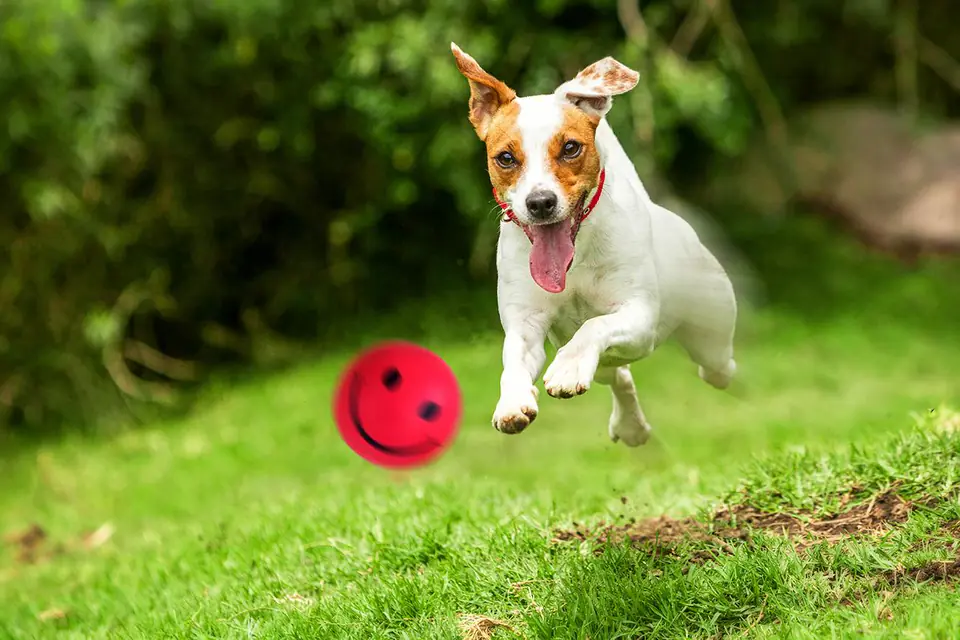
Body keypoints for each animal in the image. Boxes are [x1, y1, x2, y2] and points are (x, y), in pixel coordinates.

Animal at [450, 43, 736, 444]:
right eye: (505, 157)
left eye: (571, 148)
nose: (540, 202)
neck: (576, 259)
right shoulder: (526, 324)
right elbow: (514, 361)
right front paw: (513, 401)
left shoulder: (639, 316)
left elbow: (594, 326)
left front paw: (568, 369)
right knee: (618, 375)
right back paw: (630, 426)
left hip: (712, 330)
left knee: (717, 366)